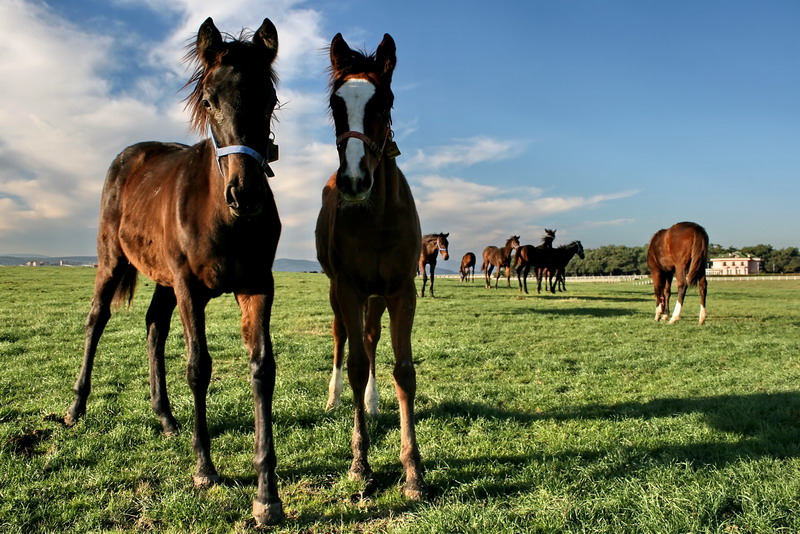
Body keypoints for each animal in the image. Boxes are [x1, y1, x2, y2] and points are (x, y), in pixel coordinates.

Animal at [65, 19, 284, 528]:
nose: (245, 195)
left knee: (153, 327)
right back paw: (76, 407)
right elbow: (198, 368)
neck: (222, 216)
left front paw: (266, 494)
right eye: (208, 100)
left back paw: (164, 417)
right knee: (96, 320)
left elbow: (262, 369)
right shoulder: (190, 288)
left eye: (269, 98)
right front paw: (204, 468)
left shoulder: (257, 286)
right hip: (113, 260)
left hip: (163, 280)